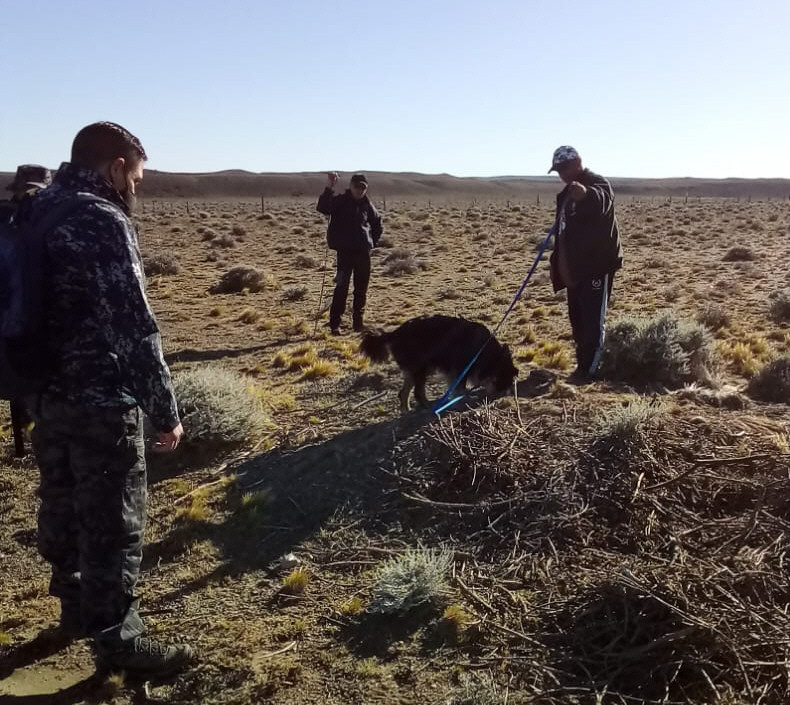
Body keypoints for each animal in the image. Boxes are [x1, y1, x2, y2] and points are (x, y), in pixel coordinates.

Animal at [358, 314, 520, 412]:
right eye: (504, 379)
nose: (504, 395)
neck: (486, 351)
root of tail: (395, 333)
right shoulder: (460, 367)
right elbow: (460, 387)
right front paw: (463, 398)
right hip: (421, 368)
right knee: (417, 392)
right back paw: (427, 405)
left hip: (417, 369)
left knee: (404, 392)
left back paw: (407, 410)